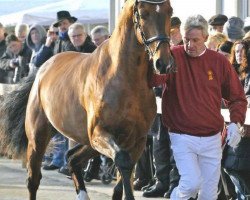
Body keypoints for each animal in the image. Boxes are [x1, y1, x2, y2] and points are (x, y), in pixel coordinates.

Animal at [0, 0, 174, 199]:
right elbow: (123, 161)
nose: (163, 63)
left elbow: (123, 174)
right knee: (34, 179)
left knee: (72, 158)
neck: (125, 77)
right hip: (39, 137)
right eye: (144, 14)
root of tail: (42, 69)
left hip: (87, 141)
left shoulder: (137, 139)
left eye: (170, 11)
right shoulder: (99, 132)